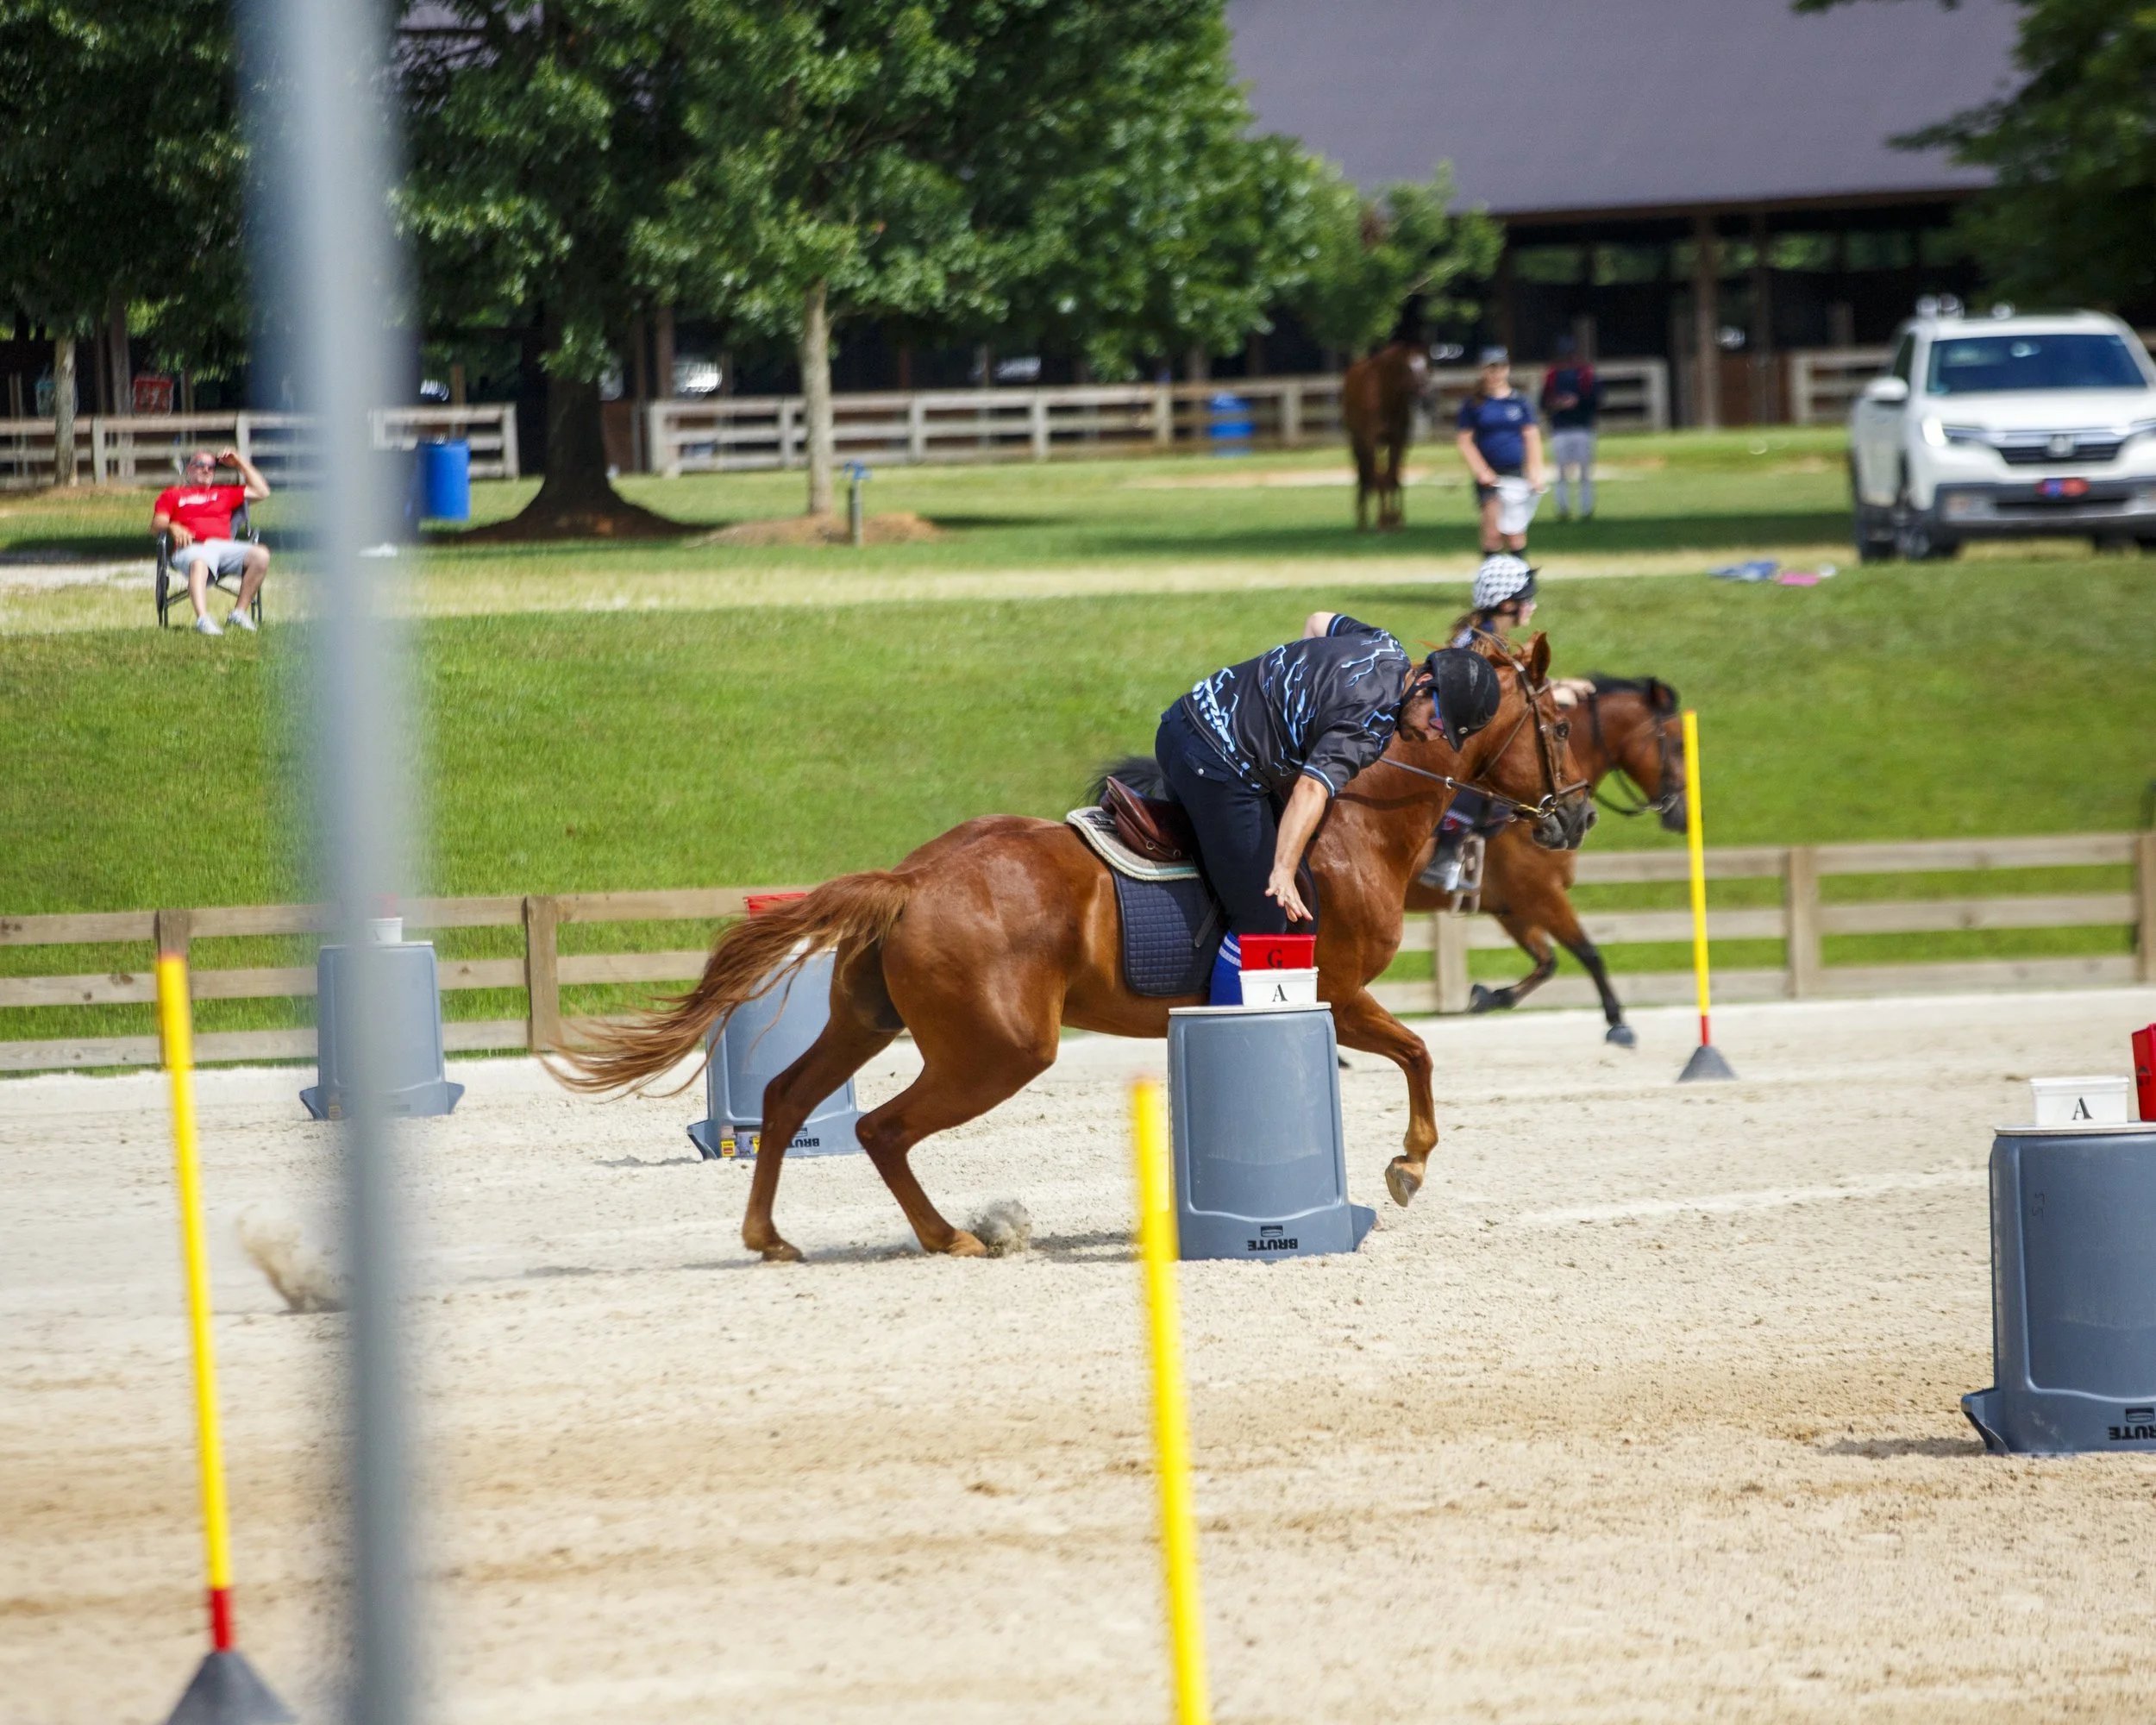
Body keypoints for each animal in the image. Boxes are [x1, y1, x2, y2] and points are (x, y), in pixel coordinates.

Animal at [552, 636, 1593, 1262]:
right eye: (1556, 723)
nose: (1577, 816)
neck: (1353, 819)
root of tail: (910, 878)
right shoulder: (1334, 989)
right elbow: (1419, 1052)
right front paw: (1407, 1166)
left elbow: (1415, 1053)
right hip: (1001, 1050)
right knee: (880, 1128)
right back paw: (951, 1237)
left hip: (865, 1021)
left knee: (785, 1099)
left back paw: (771, 1236)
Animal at [1342, 341, 1427, 532]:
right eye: (1407, 368)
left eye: (1425, 365)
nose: (1425, 394)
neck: (1386, 396)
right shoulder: (1371, 442)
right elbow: (1380, 478)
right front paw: (1382, 520)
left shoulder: (1398, 442)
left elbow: (1393, 477)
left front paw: (1395, 520)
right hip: (1357, 441)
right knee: (1365, 474)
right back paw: (1363, 521)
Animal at [1405, 676, 1687, 1045]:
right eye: (1679, 744)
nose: (1684, 815)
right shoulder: (1542, 894)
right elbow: (1588, 952)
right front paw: (1617, 1022)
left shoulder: (1512, 909)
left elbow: (1547, 961)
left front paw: (1489, 996)